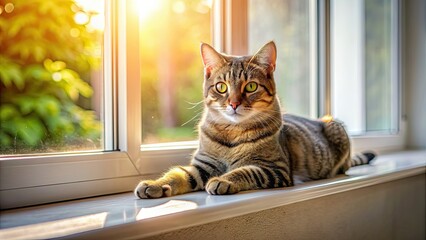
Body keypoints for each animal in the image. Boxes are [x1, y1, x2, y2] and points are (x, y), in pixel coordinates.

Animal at [134, 41, 372, 199]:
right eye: (221, 87)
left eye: (250, 86)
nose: (233, 103)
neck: (232, 132)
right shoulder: (202, 165)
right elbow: (178, 173)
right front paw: (156, 184)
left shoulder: (274, 168)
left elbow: (245, 171)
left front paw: (223, 180)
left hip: (335, 126)